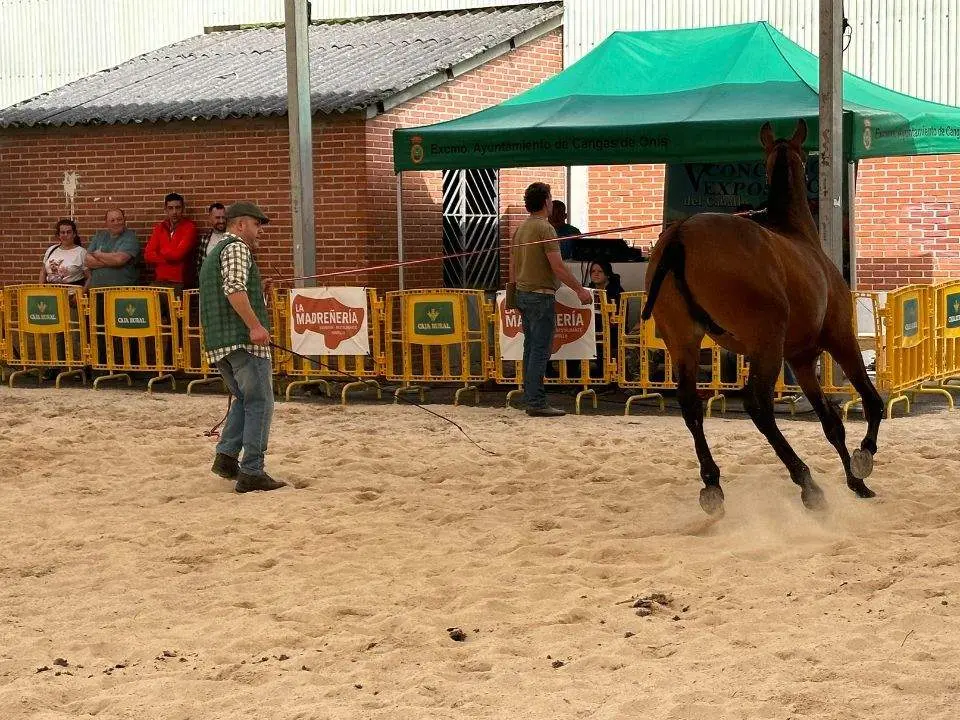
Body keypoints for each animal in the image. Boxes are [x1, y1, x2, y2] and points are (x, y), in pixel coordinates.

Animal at [641, 119, 883, 514]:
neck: (796, 233)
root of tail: (680, 234)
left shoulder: (801, 360)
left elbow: (832, 423)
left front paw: (856, 482)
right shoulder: (840, 339)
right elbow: (872, 402)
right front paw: (863, 461)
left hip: (684, 342)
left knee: (691, 405)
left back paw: (713, 485)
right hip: (765, 344)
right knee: (758, 405)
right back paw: (806, 483)